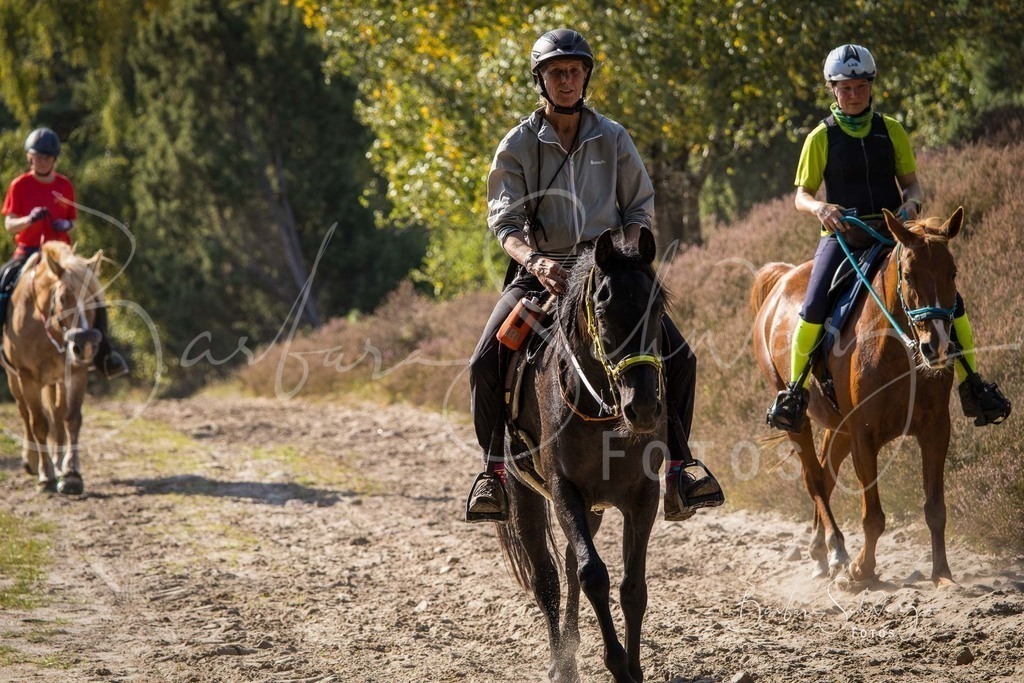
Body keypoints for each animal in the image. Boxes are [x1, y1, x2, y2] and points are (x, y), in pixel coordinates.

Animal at [2, 241, 105, 495]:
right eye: (62, 298)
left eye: (94, 297)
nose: (86, 344)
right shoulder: (27, 377)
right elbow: (38, 423)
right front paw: (45, 475)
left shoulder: (76, 373)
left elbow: (72, 419)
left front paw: (71, 474)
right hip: (14, 378)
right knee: (25, 413)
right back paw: (32, 461)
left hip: (55, 380)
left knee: (57, 416)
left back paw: (58, 463)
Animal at [497, 227, 668, 683]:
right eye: (603, 311)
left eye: (658, 309)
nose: (643, 408)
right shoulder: (563, 491)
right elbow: (593, 576)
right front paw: (617, 665)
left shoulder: (643, 495)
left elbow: (632, 586)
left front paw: (633, 668)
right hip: (527, 495)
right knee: (548, 578)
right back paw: (561, 663)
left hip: (593, 508)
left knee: (571, 568)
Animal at [751, 207, 964, 585]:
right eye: (909, 276)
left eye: (951, 272)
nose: (936, 346)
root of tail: (781, 279)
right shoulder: (864, 435)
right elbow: (874, 516)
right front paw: (862, 570)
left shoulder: (936, 430)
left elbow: (935, 509)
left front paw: (942, 574)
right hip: (799, 419)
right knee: (814, 478)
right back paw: (837, 549)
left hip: (839, 425)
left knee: (825, 473)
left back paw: (820, 549)